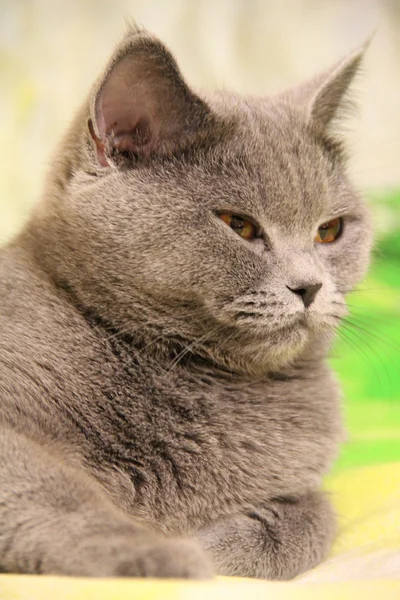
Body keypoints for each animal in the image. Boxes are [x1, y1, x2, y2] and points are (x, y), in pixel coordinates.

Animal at [0, 25, 372, 580]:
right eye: (239, 225)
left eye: (330, 231)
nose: (310, 286)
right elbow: (57, 492)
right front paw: (168, 554)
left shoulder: (306, 486)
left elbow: (317, 516)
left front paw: (214, 543)